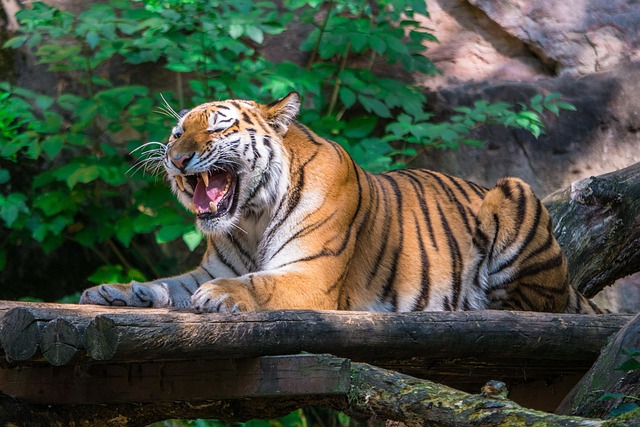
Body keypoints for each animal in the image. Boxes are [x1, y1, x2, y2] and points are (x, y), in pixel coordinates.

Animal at [80, 92, 603, 314]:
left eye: (217, 126)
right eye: (176, 132)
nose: (175, 158)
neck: (251, 217)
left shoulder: (312, 274)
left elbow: (259, 283)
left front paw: (221, 297)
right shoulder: (208, 267)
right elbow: (165, 284)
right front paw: (116, 291)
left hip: (514, 192)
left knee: (535, 304)